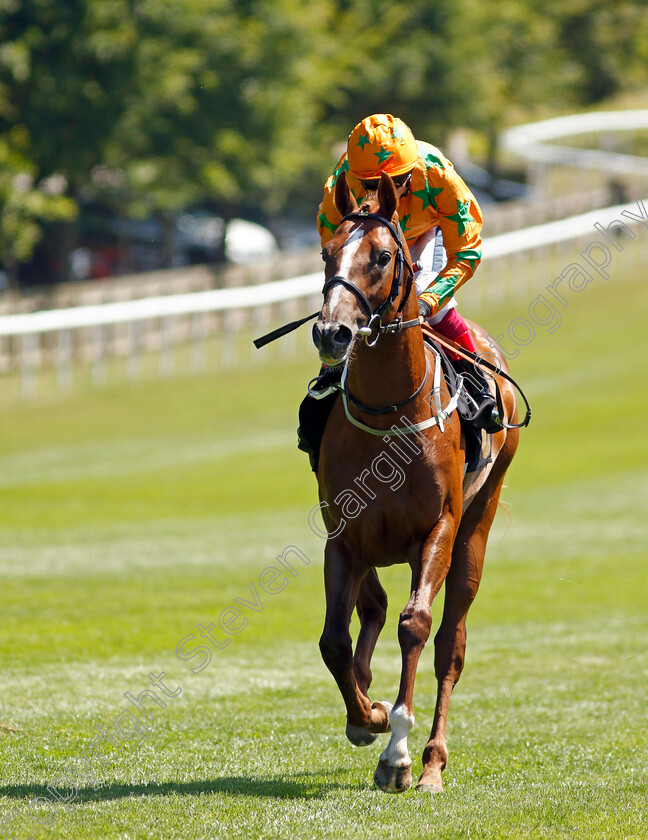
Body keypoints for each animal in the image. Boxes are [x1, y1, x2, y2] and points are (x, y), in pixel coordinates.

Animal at [312, 171, 520, 796]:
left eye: (382, 257)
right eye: (327, 253)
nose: (333, 332)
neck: (388, 416)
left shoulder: (438, 529)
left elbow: (417, 625)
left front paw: (398, 754)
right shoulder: (343, 535)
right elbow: (335, 640)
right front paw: (369, 717)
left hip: (476, 528)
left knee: (450, 642)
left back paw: (431, 762)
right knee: (373, 608)